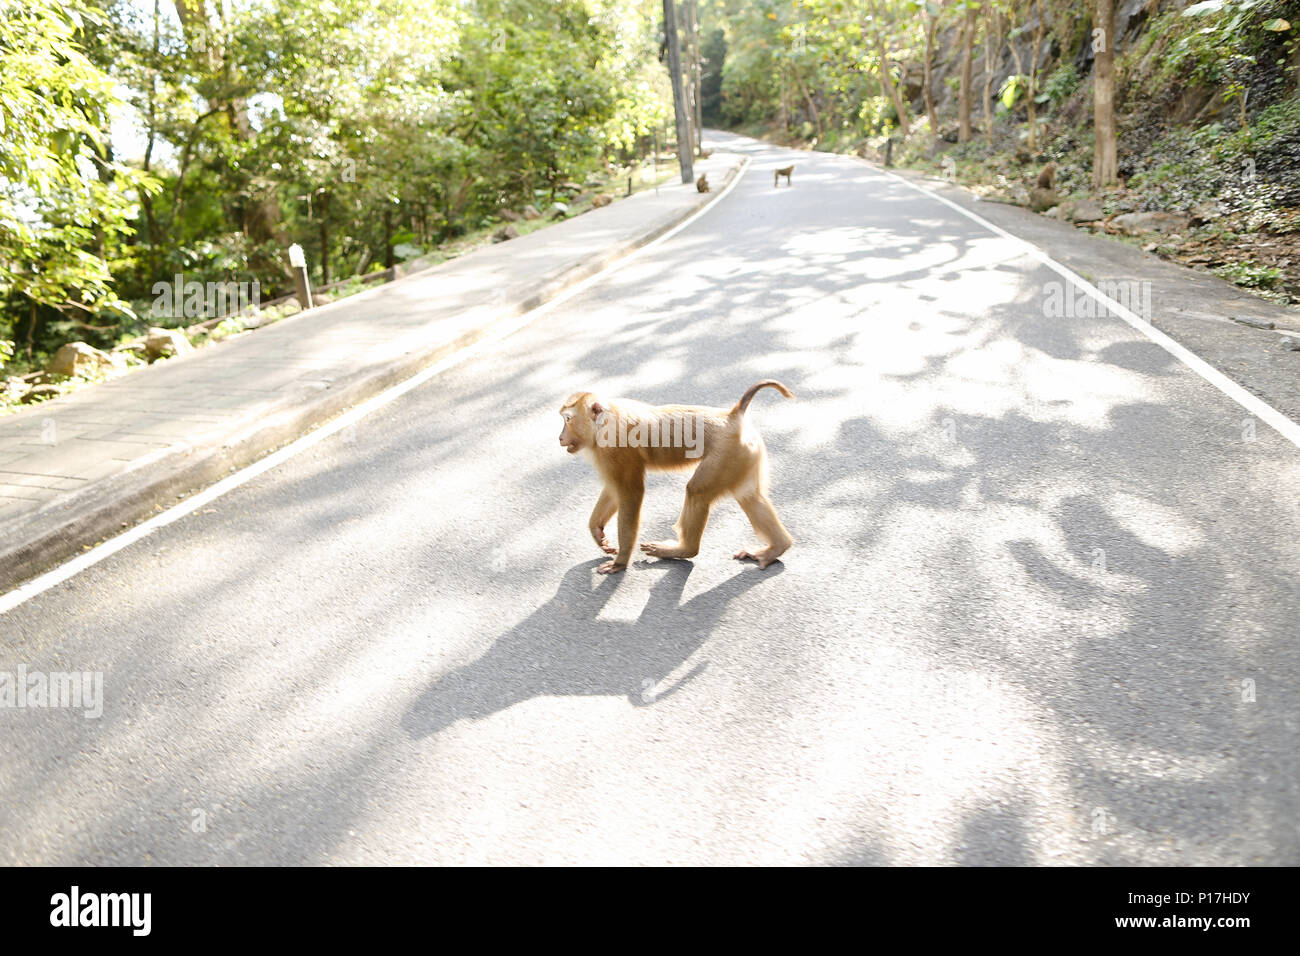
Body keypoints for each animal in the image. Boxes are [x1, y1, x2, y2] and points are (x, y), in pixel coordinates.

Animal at [556, 382, 795, 574]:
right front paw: (597, 531)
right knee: (750, 496)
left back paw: (684, 549)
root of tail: (732, 416)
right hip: (744, 454)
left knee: (697, 491)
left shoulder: (615, 448)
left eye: (568, 419)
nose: (560, 437)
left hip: (726, 454)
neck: (604, 421)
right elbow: (614, 490)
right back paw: (777, 547)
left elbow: (631, 492)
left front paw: (621, 561)